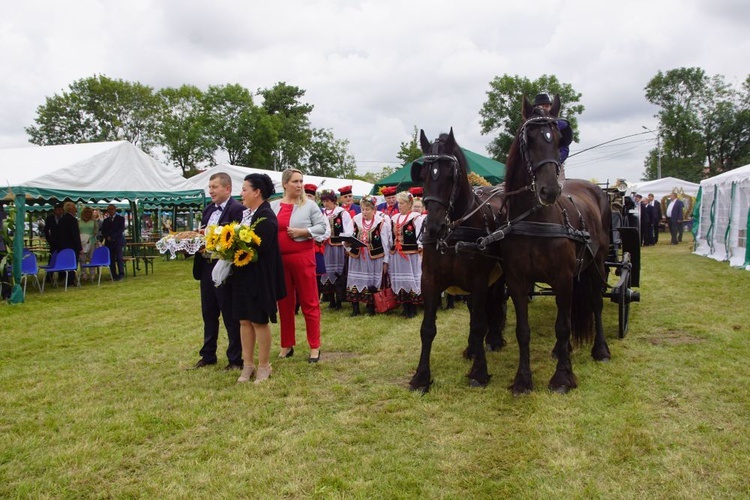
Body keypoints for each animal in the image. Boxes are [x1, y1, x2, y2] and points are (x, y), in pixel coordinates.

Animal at [408, 127, 508, 392]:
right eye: (423, 175)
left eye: (450, 175)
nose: (434, 228)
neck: (453, 234)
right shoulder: (429, 281)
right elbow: (427, 328)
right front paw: (421, 376)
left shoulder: (479, 280)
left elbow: (480, 323)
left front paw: (479, 373)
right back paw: (473, 348)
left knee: (496, 305)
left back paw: (494, 339)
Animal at [494, 94, 616, 394]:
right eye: (528, 137)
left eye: (559, 137)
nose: (549, 190)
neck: (536, 219)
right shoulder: (517, 280)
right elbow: (523, 330)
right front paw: (523, 379)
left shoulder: (561, 276)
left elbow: (562, 326)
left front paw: (562, 377)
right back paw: (565, 349)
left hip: (597, 264)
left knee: (595, 303)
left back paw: (601, 350)